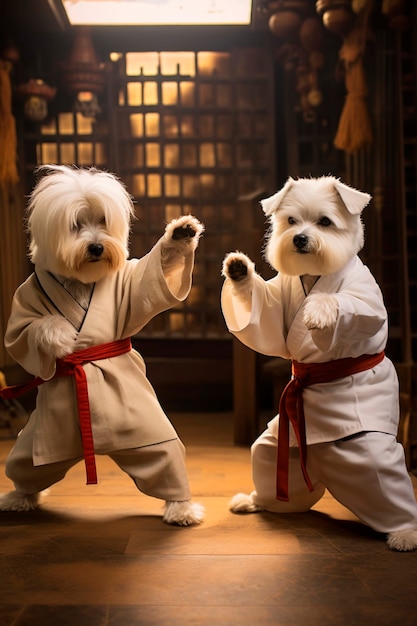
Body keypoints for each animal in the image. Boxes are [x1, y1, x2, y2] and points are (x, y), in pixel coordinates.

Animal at [0, 163, 205, 524]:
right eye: (76, 225)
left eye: (102, 222)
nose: (96, 247)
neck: (81, 280)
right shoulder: (22, 303)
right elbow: (22, 336)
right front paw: (58, 335)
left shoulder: (131, 284)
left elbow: (156, 270)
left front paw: (180, 235)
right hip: (34, 444)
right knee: (26, 466)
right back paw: (18, 497)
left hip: (151, 438)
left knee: (166, 460)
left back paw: (181, 507)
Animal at [223, 173, 416, 548]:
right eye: (291, 221)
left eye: (325, 222)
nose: (299, 238)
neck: (315, 273)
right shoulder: (278, 298)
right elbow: (266, 315)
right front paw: (240, 272)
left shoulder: (366, 297)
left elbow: (355, 309)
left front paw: (319, 310)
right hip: (281, 442)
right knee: (266, 457)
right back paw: (257, 501)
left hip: (362, 444)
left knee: (379, 471)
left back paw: (405, 531)